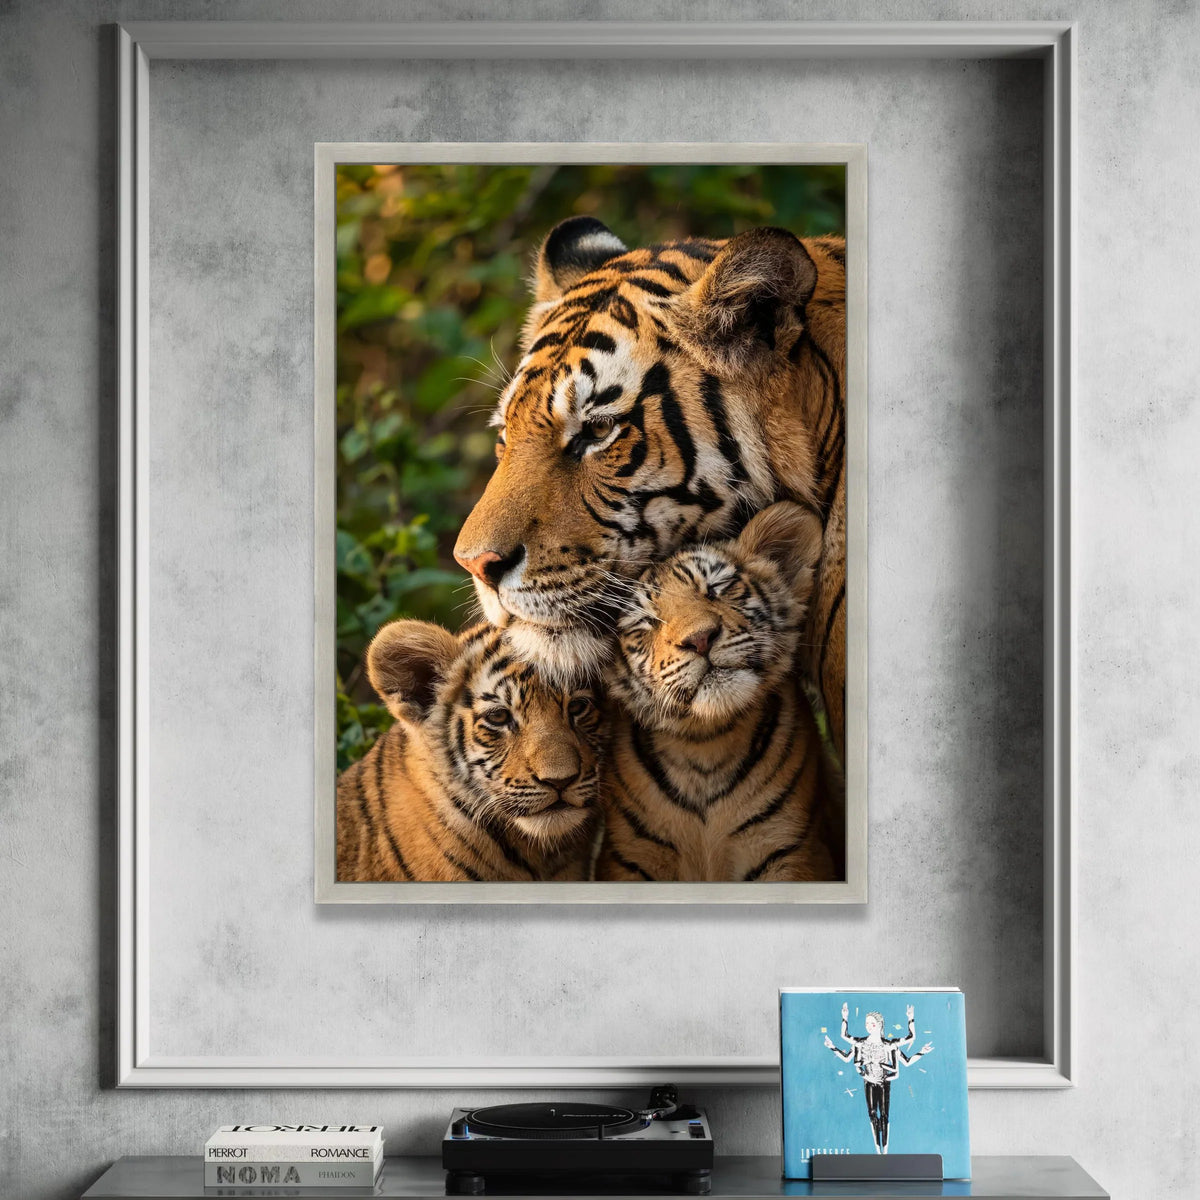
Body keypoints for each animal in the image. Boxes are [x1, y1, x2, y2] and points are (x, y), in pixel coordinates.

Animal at [596, 501, 837, 884]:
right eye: (646, 623)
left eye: (718, 589)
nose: (700, 639)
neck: (706, 746)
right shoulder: (629, 860)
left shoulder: (791, 849)